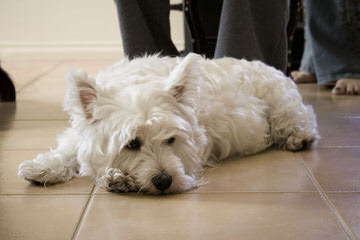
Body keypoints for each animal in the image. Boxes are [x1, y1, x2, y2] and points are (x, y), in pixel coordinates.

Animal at [18, 53, 320, 194]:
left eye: (171, 140)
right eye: (132, 144)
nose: (164, 181)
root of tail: (274, 67)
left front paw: (118, 179)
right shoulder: (81, 134)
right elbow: (68, 150)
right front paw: (41, 169)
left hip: (281, 104)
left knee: (302, 116)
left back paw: (299, 137)